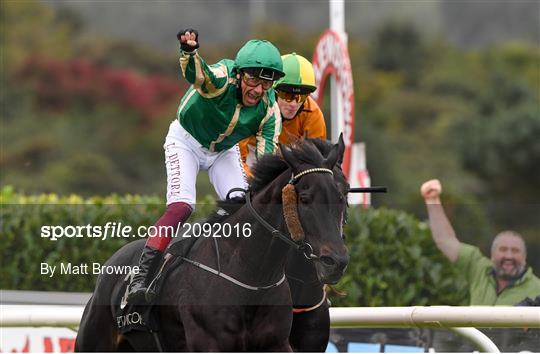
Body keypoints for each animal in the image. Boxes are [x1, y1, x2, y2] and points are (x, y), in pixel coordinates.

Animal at [76, 138, 348, 352]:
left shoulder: (276, 343)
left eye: (341, 196)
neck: (251, 276)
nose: (336, 262)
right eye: (305, 198)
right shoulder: (209, 343)